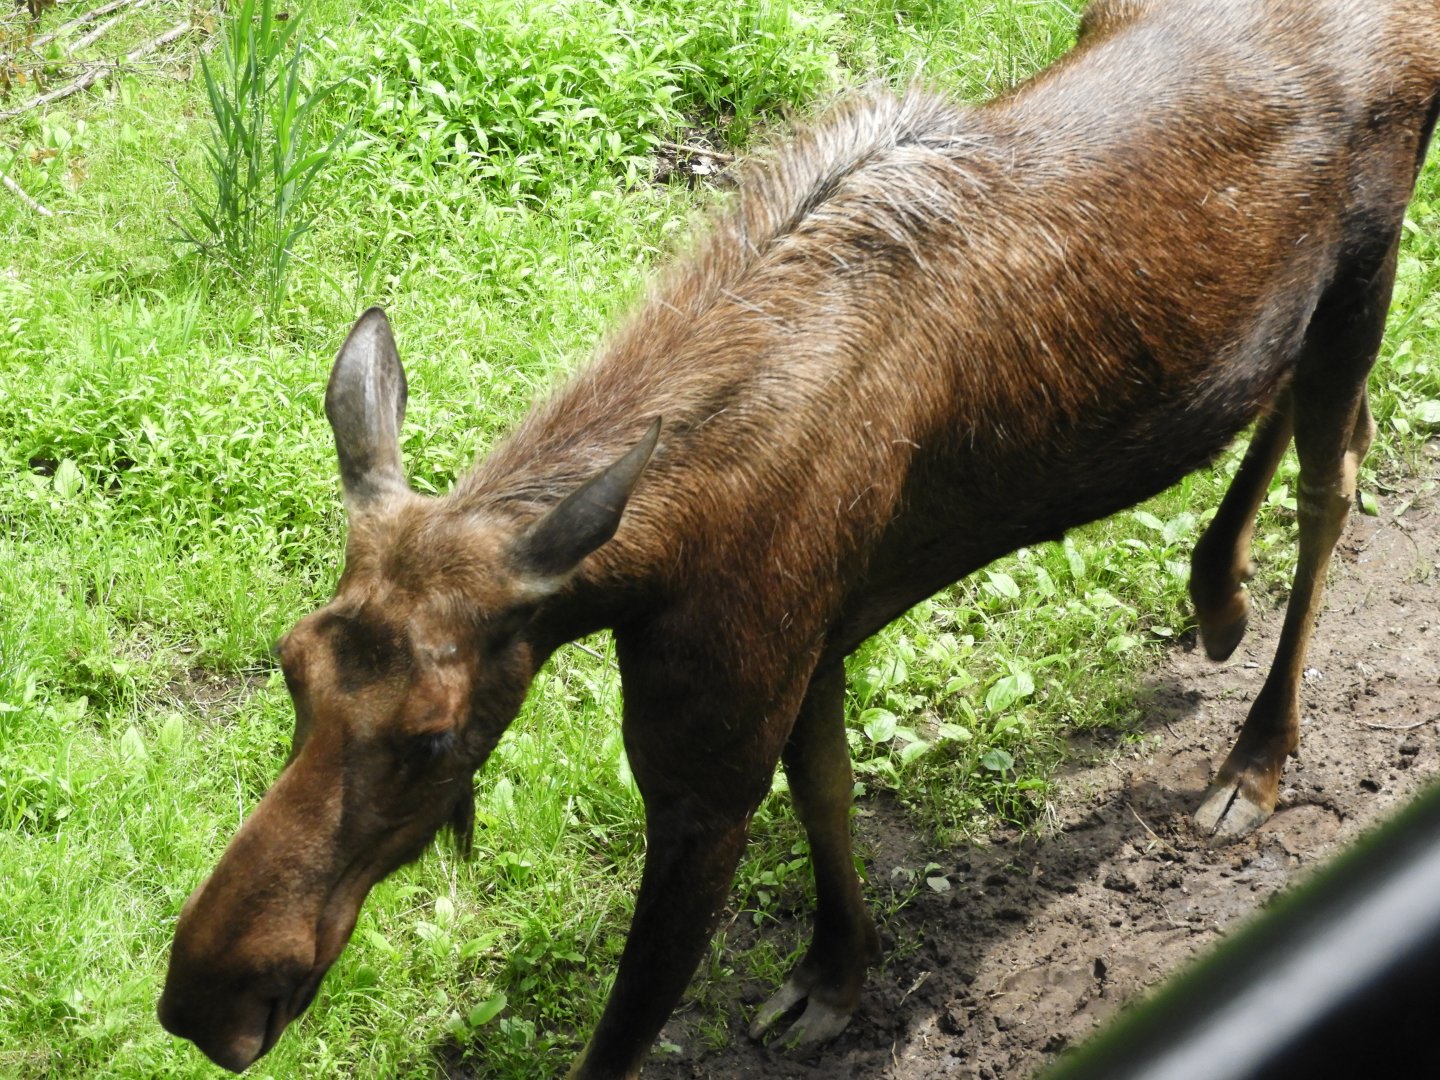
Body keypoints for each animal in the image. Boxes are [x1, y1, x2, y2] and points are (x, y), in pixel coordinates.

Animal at [158, 0, 1440, 1075]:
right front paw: (836, 974)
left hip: (1371, 260)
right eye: (291, 665)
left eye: (433, 737)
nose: (205, 1000)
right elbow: (828, 791)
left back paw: (1255, 761)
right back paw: (1215, 589)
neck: (639, 570)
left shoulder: (711, 761)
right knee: (1298, 399)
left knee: (1336, 477)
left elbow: (625, 1029)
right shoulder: (812, 635)